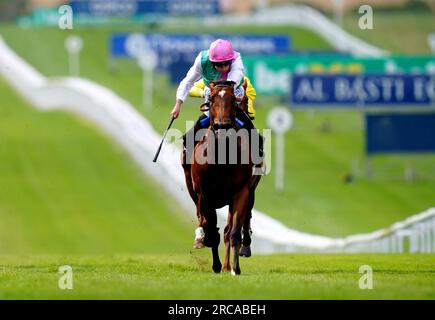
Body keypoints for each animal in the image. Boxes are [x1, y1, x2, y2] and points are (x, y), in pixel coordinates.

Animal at [181, 80, 262, 276]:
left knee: (238, 223)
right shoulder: (205, 195)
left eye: (234, 100)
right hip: (193, 189)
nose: (222, 126)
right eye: (211, 99)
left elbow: (234, 231)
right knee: (205, 220)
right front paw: (216, 264)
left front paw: (235, 268)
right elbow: (211, 228)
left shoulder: (241, 192)